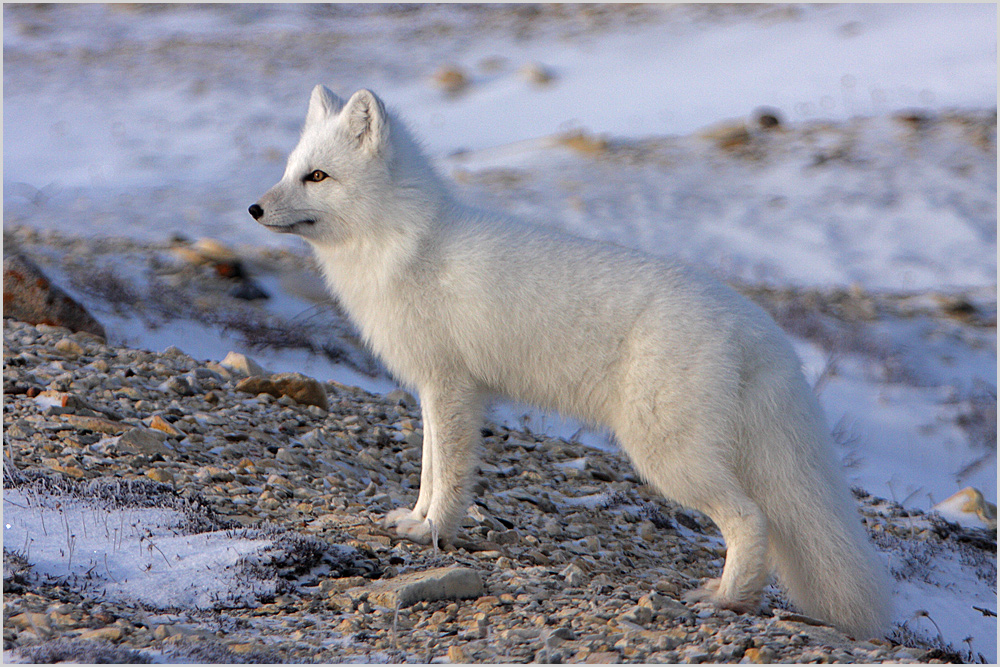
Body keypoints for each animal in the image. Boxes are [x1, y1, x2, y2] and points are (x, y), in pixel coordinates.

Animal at [250, 86, 892, 640]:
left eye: (317, 176)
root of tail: (758, 326)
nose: (253, 207)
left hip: (667, 454)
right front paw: (417, 521)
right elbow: (430, 469)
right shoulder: (434, 389)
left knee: (750, 519)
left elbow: (449, 473)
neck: (403, 243)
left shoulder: (451, 387)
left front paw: (435, 530)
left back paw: (726, 599)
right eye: (290, 167)